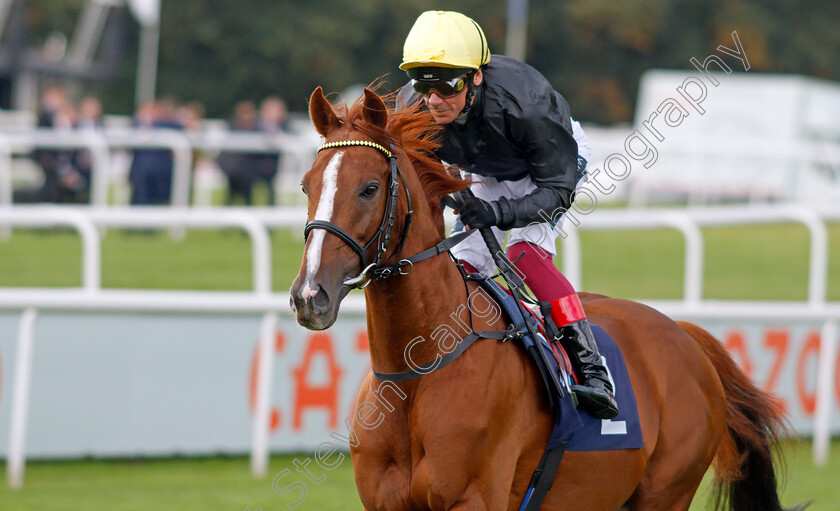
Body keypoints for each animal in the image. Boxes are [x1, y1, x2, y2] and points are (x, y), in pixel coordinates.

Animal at [290, 87, 800, 511]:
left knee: (527, 249)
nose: (310, 295)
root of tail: (686, 335)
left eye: (370, 188)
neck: (417, 370)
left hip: (665, 493)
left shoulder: (474, 499)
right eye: (306, 185)